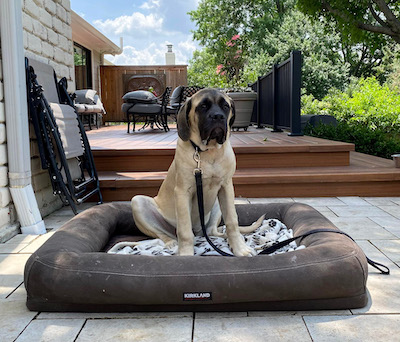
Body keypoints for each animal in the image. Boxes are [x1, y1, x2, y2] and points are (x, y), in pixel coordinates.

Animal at [131, 88, 262, 256]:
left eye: (225, 106)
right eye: (203, 106)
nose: (218, 116)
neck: (208, 152)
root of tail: (200, 232)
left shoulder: (226, 187)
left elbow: (232, 221)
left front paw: (240, 249)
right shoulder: (182, 192)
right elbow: (184, 230)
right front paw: (186, 254)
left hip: (217, 203)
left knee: (213, 231)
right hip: (138, 202)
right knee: (164, 234)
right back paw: (171, 243)